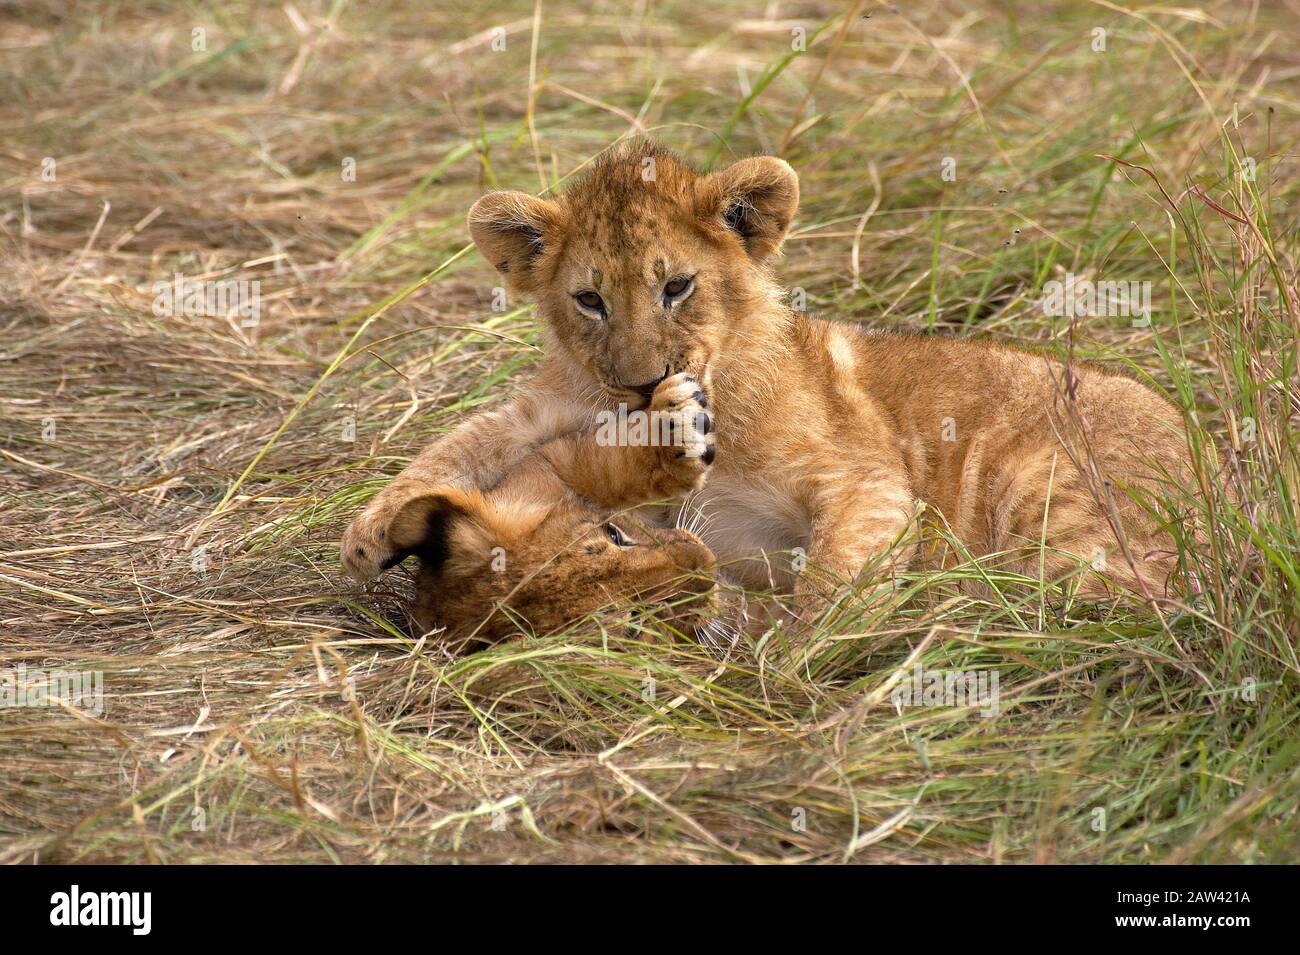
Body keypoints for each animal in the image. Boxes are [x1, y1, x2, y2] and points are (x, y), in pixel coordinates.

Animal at [343, 140, 1193, 608]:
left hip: (1046, 490)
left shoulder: (865, 480)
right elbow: (458, 445)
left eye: (676, 286)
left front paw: (781, 669)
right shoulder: (543, 415)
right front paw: (365, 534)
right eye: (589, 299)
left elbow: (831, 586)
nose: (640, 383)